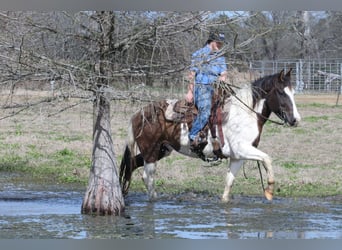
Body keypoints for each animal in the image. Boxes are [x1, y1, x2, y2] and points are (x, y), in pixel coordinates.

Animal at [119, 69, 300, 203]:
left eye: (293, 93)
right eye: (281, 92)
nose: (295, 120)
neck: (245, 114)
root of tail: (139, 114)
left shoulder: (237, 157)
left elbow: (229, 182)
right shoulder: (242, 149)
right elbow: (267, 158)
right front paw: (269, 190)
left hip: (161, 150)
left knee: (132, 165)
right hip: (151, 152)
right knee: (147, 176)